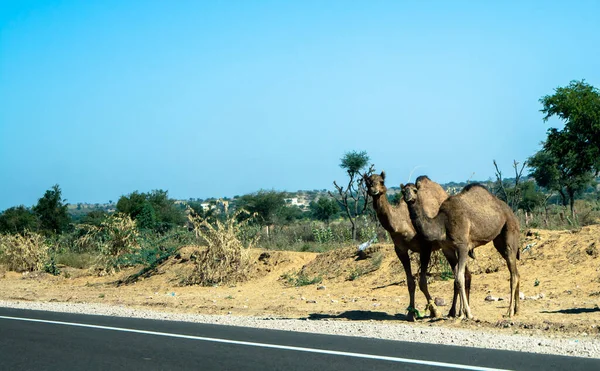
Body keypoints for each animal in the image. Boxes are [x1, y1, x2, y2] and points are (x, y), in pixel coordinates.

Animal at [364, 173, 472, 322]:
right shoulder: (400, 250)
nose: (374, 190)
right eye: (368, 182)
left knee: (463, 275)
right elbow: (410, 282)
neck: (401, 224)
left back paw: (458, 312)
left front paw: (435, 311)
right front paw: (411, 314)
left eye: (381, 181)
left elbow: (422, 282)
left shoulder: (425, 247)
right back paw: (454, 312)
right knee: (462, 274)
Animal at [404, 179, 520, 322]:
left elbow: (459, 278)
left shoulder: (462, 246)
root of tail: (511, 212)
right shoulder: (447, 248)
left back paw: (509, 312)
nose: (408, 197)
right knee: (516, 272)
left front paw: (468, 313)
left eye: (415, 190)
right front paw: (460, 313)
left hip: (510, 229)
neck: (443, 224)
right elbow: (457, 279)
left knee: (513, 274)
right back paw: (517, 309)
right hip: (498, 240)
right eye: (403, 191)